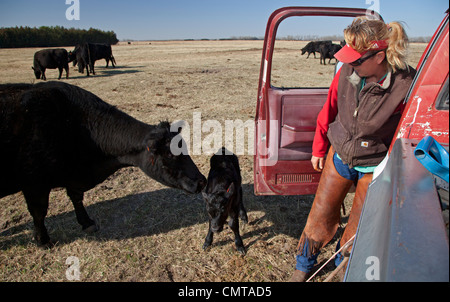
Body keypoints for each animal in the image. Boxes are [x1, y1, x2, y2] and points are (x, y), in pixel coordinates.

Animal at [0, 81, 207, 247]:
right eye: (171, 155)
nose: (202, 181)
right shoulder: (34, 183)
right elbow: (39, 212)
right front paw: (43, 241)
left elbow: (76, 198)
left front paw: (87, 222)